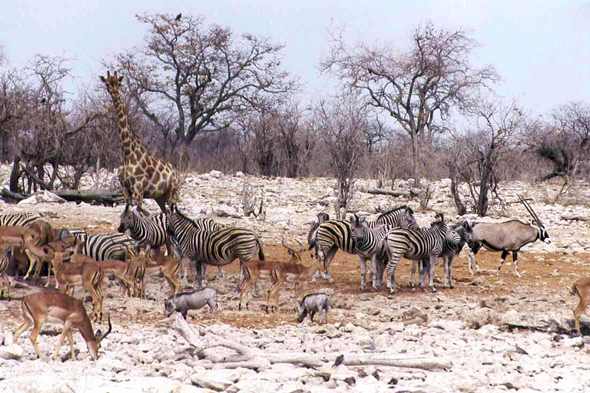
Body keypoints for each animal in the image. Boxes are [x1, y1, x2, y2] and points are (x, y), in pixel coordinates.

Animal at [100, 69, 183, 213]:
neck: (127, 152)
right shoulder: (125, 190)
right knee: (165, 213)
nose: (114, 93)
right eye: (107, 83)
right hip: (160, 196)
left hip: (173, 193)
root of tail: (178, 174)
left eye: (119, 83)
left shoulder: (138, 189)